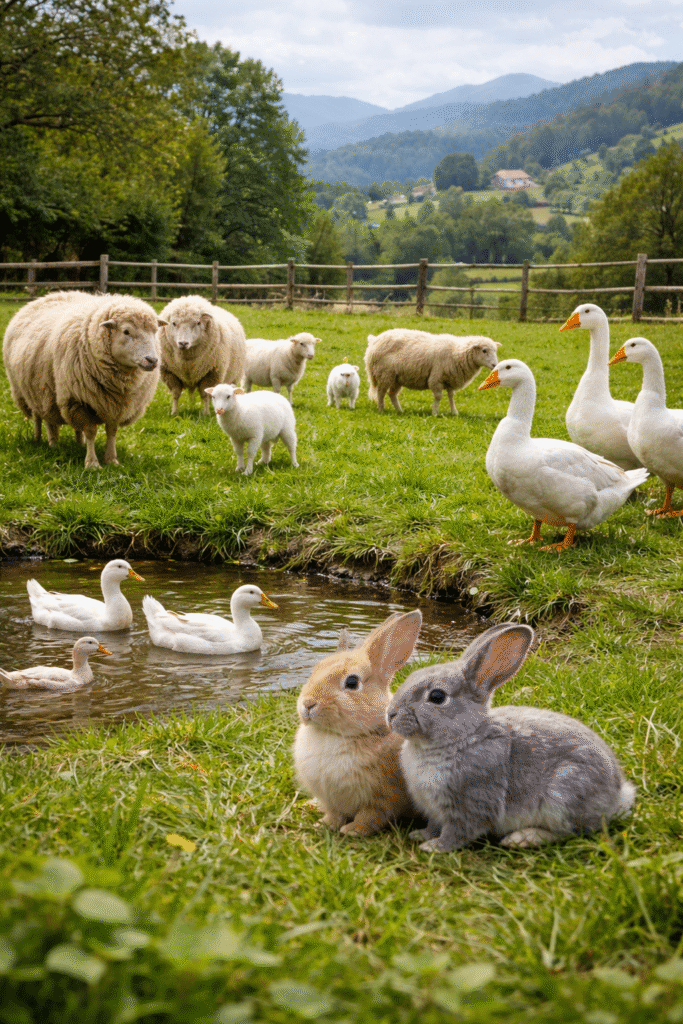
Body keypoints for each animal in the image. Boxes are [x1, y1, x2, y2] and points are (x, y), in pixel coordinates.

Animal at [2, 290, 165, 468]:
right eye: (126, 331)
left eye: (155, 331)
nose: (152, 360)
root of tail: (46, 297)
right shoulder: (77, 400)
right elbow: (91, 431)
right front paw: (92, 463)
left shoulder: (116, 405)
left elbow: (111, 431)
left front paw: (111, 459)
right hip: (34, 391)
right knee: (43, 419)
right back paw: (46, 442)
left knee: (63, 423)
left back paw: (78, 443)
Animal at [364, 329, 501, 415]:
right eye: (484, 350)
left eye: (495, 351)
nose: (495, 365)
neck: (456, 352)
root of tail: (374, 340)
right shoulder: (436, 378)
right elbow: (439, 396)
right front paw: (435, 412)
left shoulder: (450, 379)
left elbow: (451, 396)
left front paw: (454, 412)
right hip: (384, 374)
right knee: (381, 393)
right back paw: (381, 409)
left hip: (397, 378)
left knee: (392, 394)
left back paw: (399, 411)